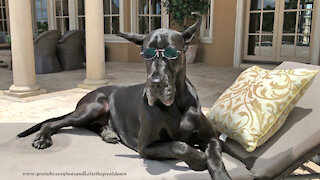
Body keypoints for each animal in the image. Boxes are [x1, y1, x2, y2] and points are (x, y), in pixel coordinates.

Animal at [17, 17, 231, 180]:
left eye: (172, 53)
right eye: (146, 53)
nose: (155, 84)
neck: (176, 104)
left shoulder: (212, 138)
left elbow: (215, 157)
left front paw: (220, 173)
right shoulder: (146, 146)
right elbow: (179, 145)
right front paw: (199, 159)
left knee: (91, 125)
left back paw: (108, 132)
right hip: (94, 107)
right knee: (54, 123)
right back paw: (43, 137)